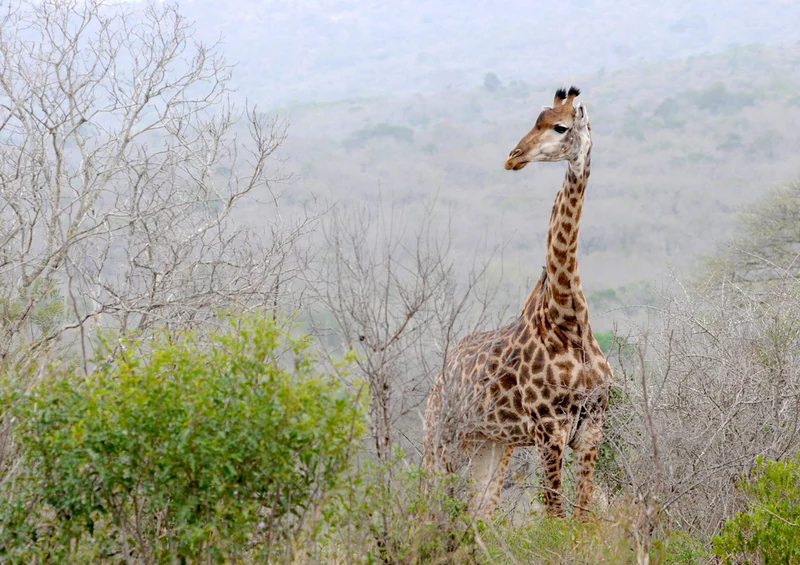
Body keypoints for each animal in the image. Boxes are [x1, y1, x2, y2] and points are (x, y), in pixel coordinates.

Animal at [422, 86, 611, 520]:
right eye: (536, 121)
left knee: (479, 515)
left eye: (560, 127)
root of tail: (438, 380)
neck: (568, 319)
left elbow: (581, 518)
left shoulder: (591, 429)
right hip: (440, 439)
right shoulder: (548, 430)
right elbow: (556, 519)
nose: (514, 156)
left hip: (490, 444)